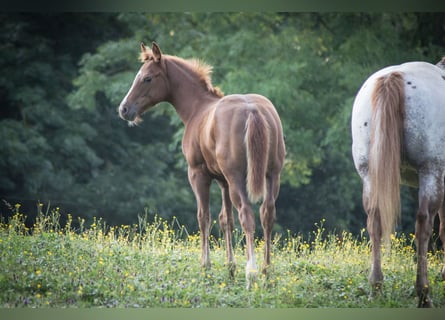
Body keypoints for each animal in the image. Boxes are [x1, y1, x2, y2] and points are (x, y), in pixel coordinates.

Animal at [118, 41, 284, 288]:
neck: (197, 109)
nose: (124, 109)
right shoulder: (223, 181)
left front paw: (205, 267)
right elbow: (226, 220)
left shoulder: (198, 174)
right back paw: (267, 273)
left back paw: (251, 273)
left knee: (247, 215)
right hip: (272, 174)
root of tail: (252, 110)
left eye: (147, 78)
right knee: (267, 214)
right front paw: (230, 268)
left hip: (237, 178)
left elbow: (203, 217)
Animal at [350, 58, 444, 308]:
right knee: (423, 223)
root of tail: (394, 77)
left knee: (375, 220)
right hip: (431, 170)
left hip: (369, 174)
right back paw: (423, 293)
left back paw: (376, 286)